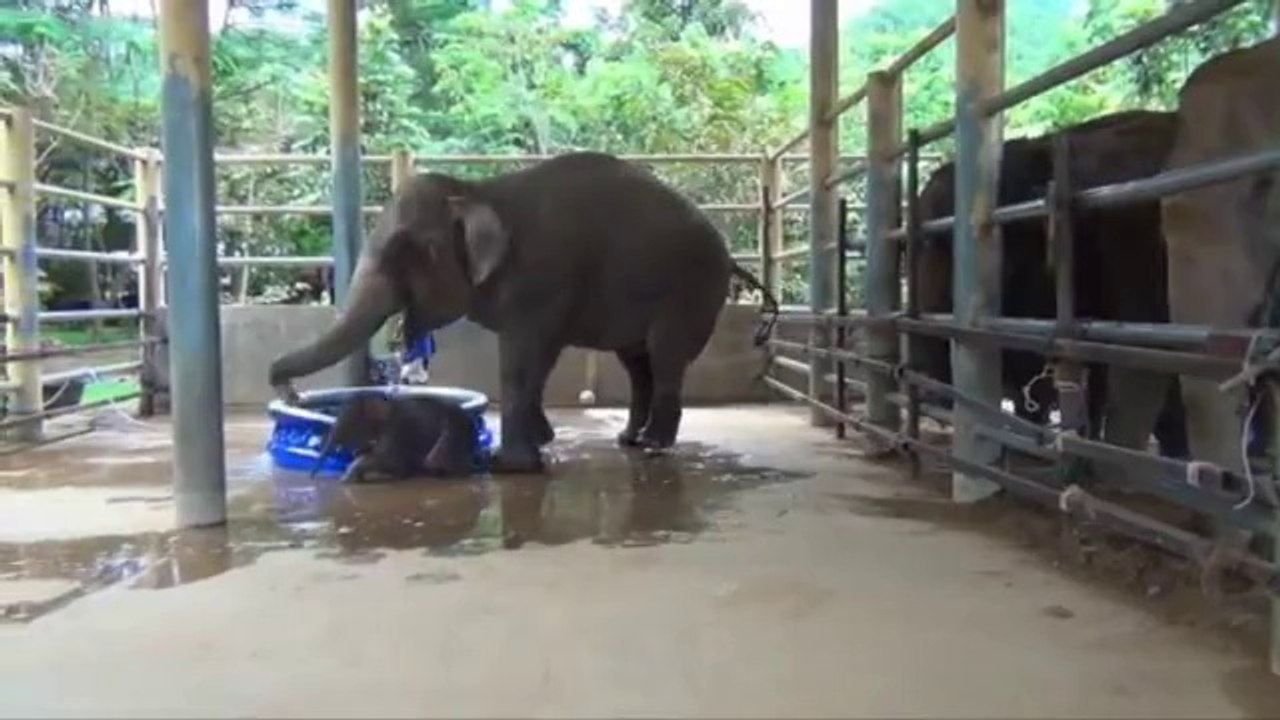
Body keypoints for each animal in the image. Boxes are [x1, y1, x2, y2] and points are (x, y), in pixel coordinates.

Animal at [312, 392, 479, 483]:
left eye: (350, 421)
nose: (313, 476)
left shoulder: (396, 432)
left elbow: (387, 459)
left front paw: (347, 476)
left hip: (452, 438)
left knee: (433, 460)